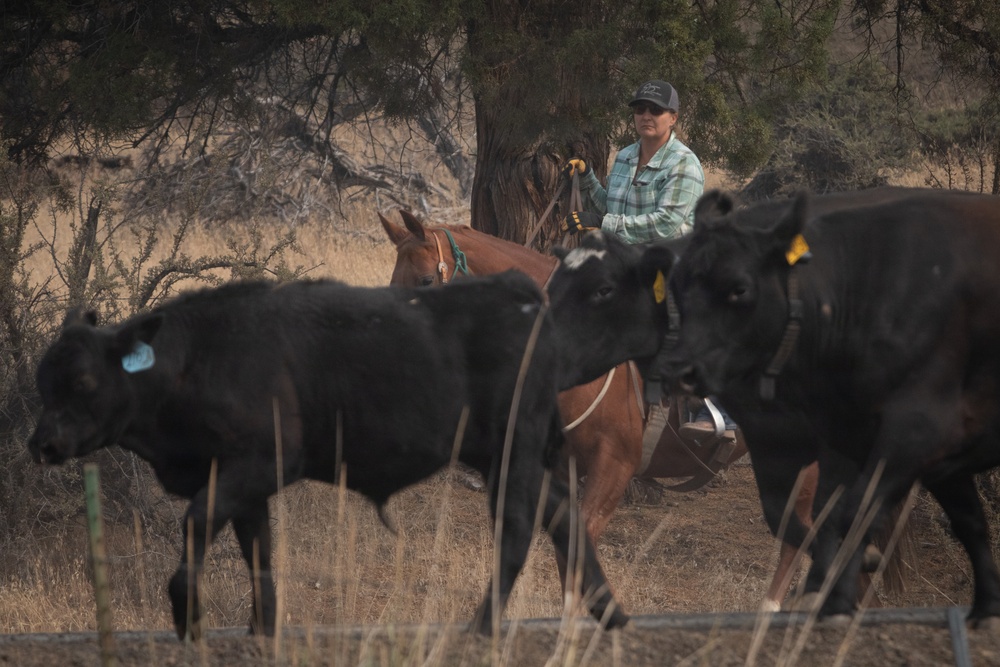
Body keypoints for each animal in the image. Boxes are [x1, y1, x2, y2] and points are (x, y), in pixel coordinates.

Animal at [27, 273, 628, 639]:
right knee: (563, 514)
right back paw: (611, 614)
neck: (197, 357)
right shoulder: (244, 487)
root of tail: (520, 292)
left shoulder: (255, 466)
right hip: (503, 458)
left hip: (512, 456)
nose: (41, 444)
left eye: (83, 381)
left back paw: (482, 627)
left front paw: (189, 618)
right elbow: (259, 558)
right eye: (43, 379)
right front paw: (261, 630)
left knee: (518, 532)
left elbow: (196, 527)